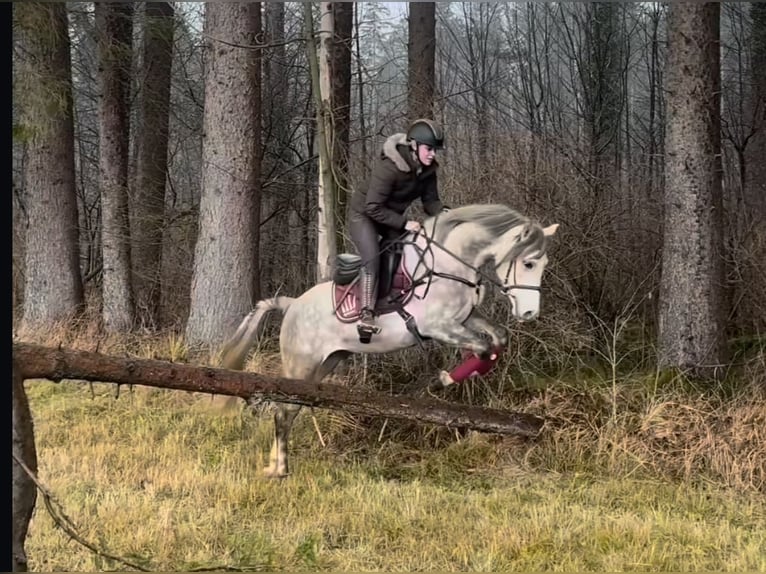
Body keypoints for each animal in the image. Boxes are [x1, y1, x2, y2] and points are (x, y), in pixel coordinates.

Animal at [222, 205, 560, 480]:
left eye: (543, 264)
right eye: (529, 263)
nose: (529, 313)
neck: (451, 265)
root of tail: (292, 305)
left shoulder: (464, 319)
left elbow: (498, 339)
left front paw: (455, 373)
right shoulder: (437, 326)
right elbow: (484, 346)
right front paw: (443, 379)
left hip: (325, 363)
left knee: (290, 409)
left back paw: (274, 465)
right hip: (301, 364)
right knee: (283, 411)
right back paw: (279, 468)